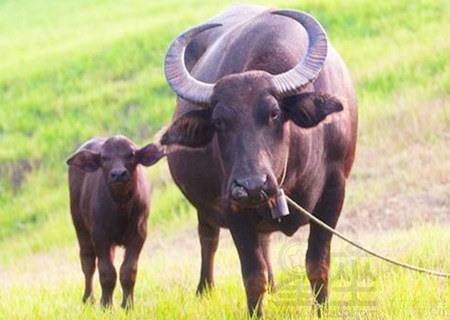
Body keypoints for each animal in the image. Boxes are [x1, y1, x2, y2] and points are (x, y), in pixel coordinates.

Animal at [66, 135, 164, 308]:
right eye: (104, 158)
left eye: (131, 154)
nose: (118, 174)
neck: (120, 207)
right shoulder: (99, 236)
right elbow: (106, 272)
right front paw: (106, 305)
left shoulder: (139, 235)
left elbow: (128, 270)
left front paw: (128, 305)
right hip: (80, 226)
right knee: (88, 262)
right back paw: (88, 298)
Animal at [160, 5, 356, 318]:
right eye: (219, 122)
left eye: (274, 113)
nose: (251, 185)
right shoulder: (232, 206)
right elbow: (253, 276)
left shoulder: (334, 192)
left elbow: (317, 264)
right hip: (205, 207)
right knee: (208, 239)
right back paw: (204, 290)